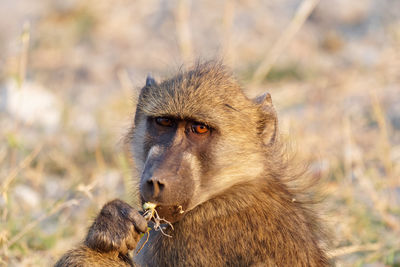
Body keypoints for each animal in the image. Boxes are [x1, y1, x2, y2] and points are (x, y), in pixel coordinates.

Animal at [57, 61, 332, 267]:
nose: (156, 180)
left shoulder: (196, 238)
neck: (231, 187)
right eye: (164, 122)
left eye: (199, 129)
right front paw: (113, 223)